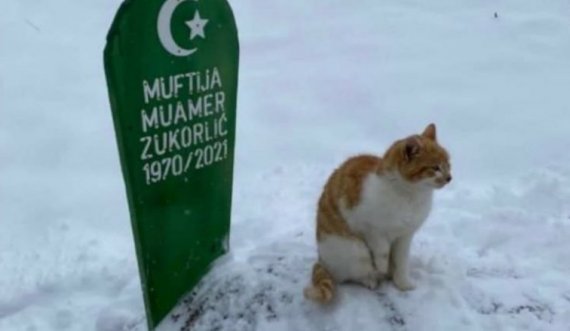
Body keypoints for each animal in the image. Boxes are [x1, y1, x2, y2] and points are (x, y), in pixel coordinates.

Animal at [304, 124, 450, 304]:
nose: (449, 177)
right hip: (355, 249)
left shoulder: (405, 236)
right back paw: (372, 279)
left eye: (448, 164)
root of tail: (321, 260)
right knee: (354, 274)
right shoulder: (368, 227)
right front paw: (382, 265)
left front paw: (402, 283)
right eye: (435, 168)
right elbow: (382, 251)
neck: (410, 196)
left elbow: (401, 261)